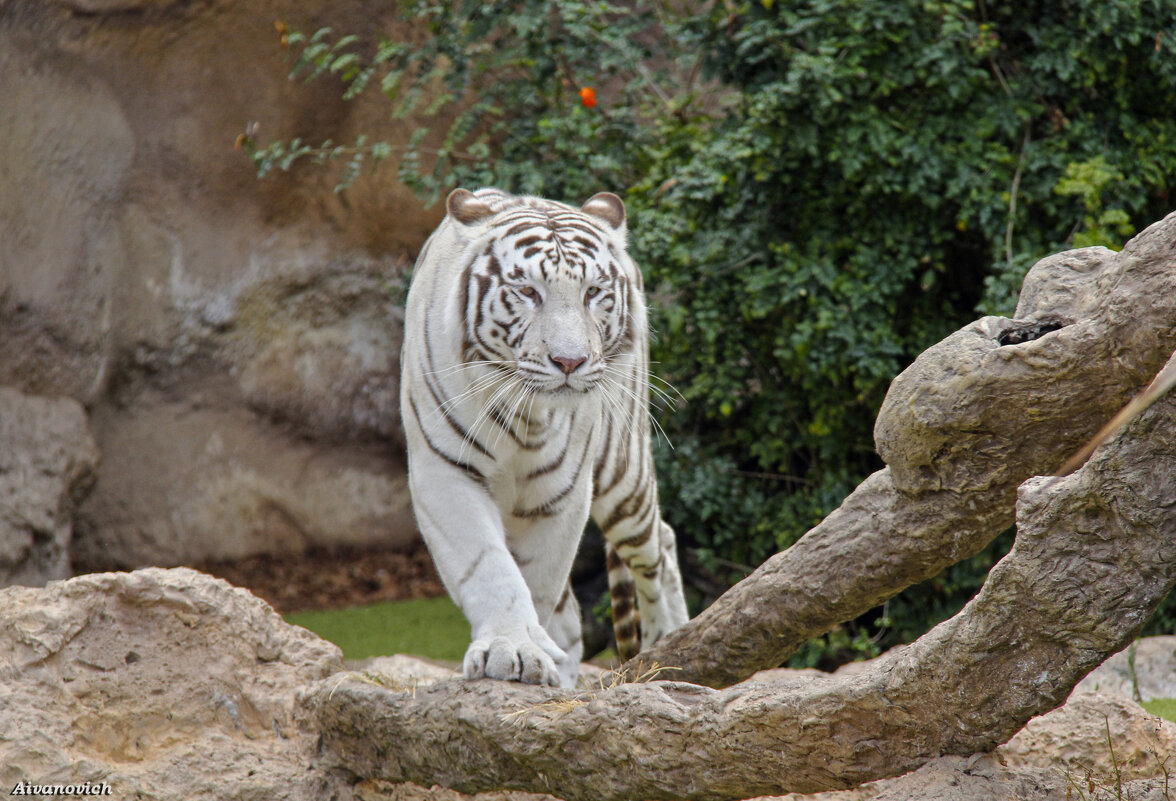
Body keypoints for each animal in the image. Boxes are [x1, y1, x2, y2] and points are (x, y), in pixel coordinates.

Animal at [399, 187, 686, 686]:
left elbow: (538, 582)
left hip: (624, 474)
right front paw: (511, 648)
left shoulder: (562, 490)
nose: (569, 361)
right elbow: (489, 566)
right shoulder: (445, 471)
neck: (524, 415)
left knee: (659, 546)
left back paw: (667, 642)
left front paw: (526, 651)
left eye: (593, 293)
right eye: (528, 292)